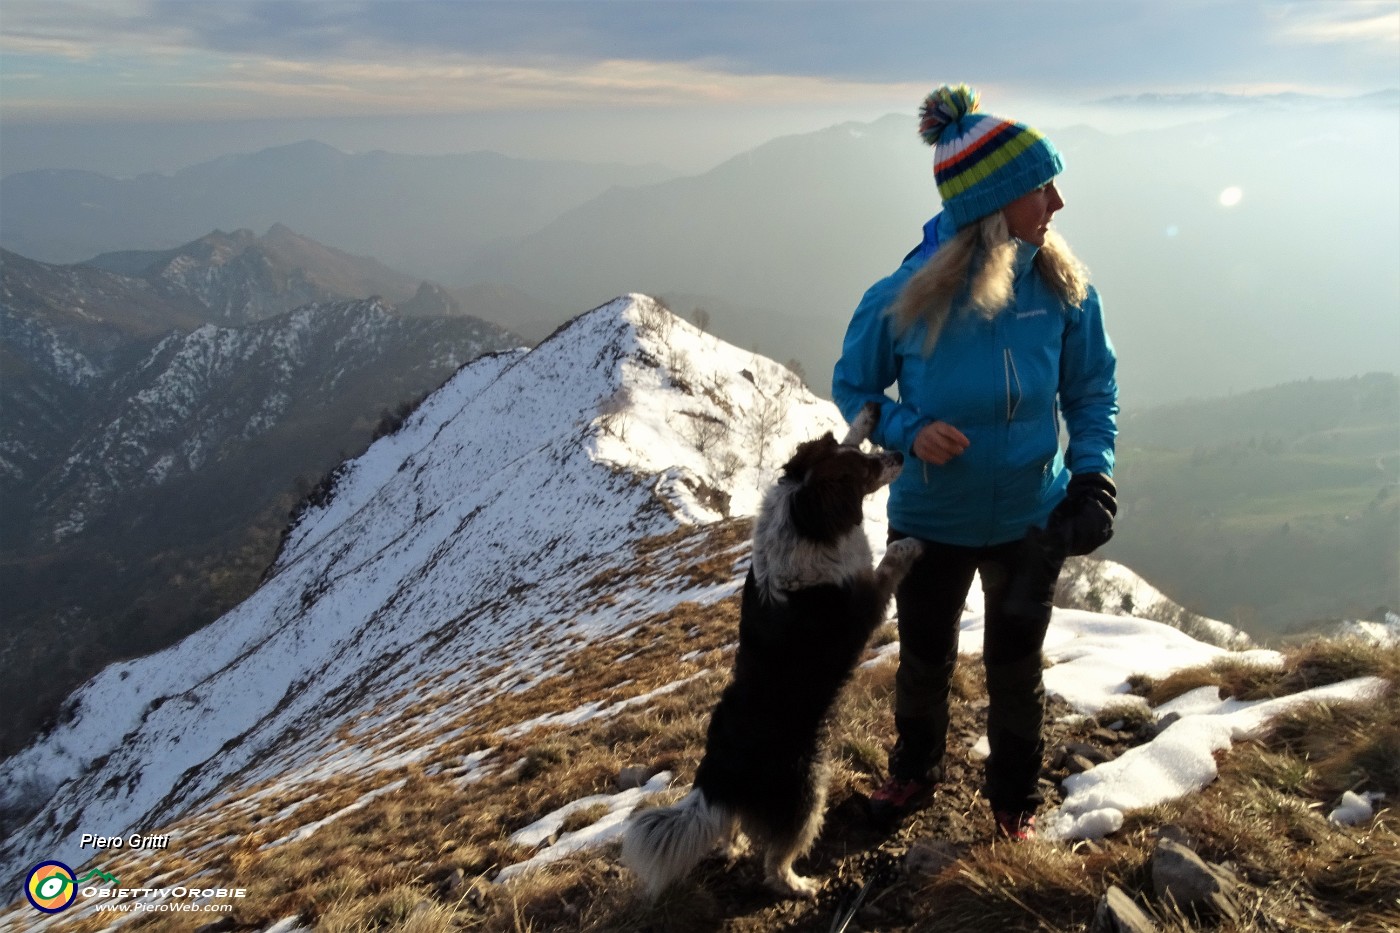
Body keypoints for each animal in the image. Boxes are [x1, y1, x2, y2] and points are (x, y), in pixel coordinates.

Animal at [624, 403, 918, 896]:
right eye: (866, 471)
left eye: (861, 456)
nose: (897, 454)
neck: (802, 517)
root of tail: (716, 780)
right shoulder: (865, 601)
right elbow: (885, 566)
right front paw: (908, 546)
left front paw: (863, 417)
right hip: (807, 791)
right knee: (775, 862)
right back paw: (800, 885)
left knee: (732, 829)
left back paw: (735, 847)